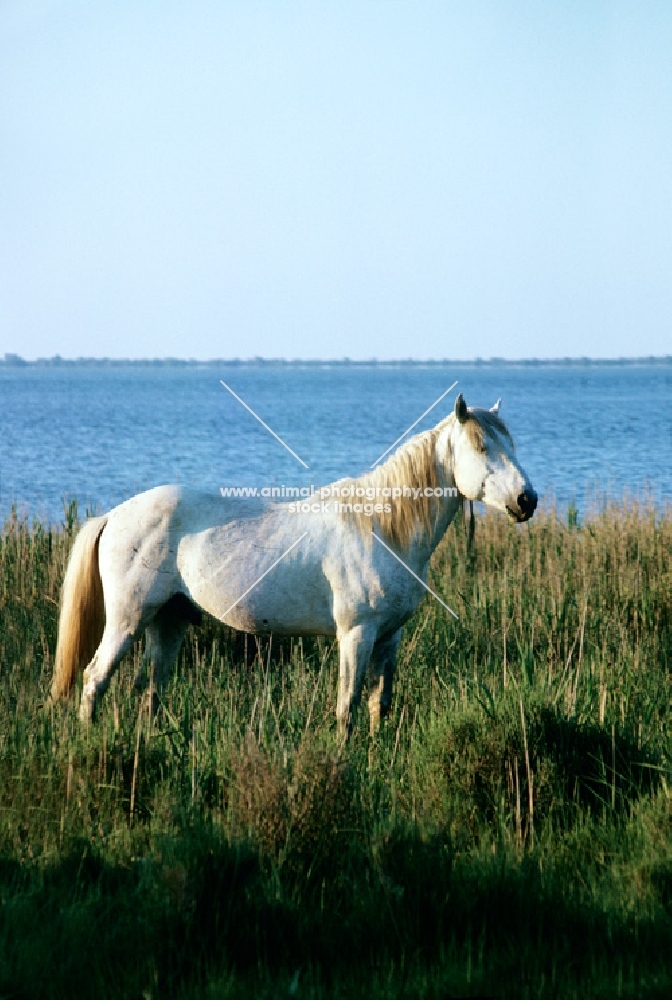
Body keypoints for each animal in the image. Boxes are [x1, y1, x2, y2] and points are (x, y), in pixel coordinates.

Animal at [51, 396, 536, 736]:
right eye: (482, 446)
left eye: (512, 444)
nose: (526, 500)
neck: (382, 528)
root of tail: (113, 515)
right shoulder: (356, 633)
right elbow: (347, 706)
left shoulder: (389, 636)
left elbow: (378, 703)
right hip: (127, 621)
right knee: (94, 680)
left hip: (167, 622)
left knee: (149, 691)